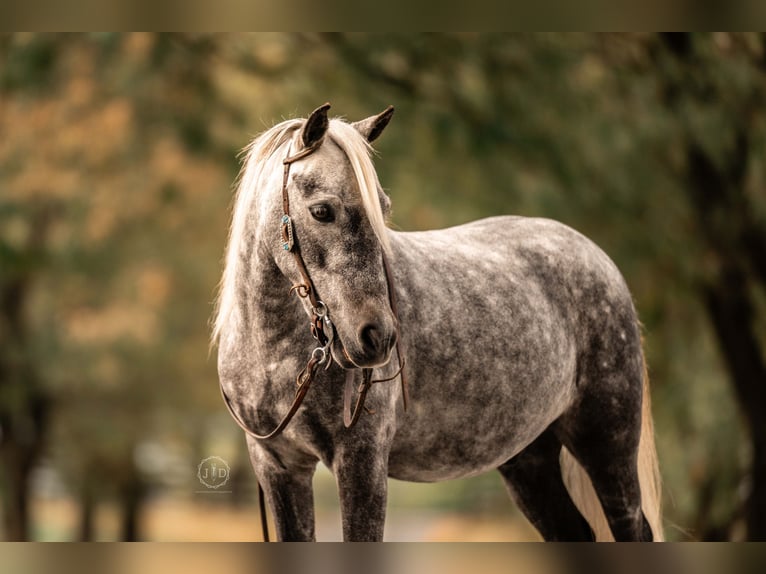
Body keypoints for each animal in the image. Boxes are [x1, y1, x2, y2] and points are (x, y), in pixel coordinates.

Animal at [212, 103, 663, 542]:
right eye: (322, 211)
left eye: (383, 208)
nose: (377, 337)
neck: (274, 355)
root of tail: (598, 259)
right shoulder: (279, 467)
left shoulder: (361, 461)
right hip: (529, 459)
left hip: (608, 446)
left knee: (633, 528)